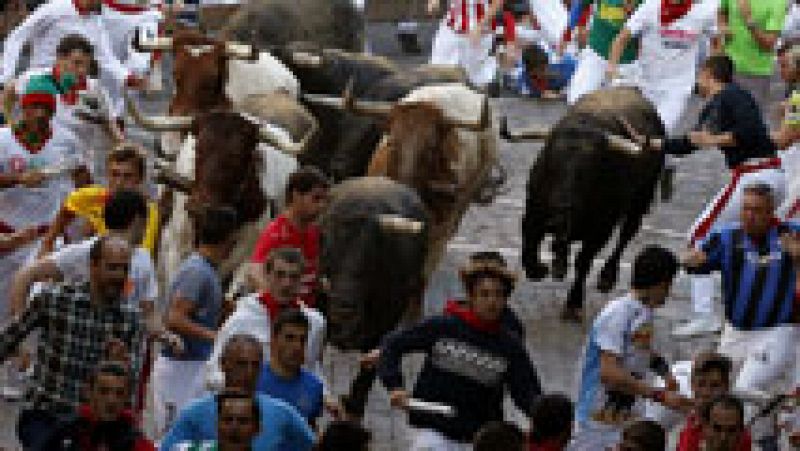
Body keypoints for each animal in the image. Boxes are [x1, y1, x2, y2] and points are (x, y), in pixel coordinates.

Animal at [504, 87, 664, 322]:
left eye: (588, 170)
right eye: (551, 162)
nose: (558, 214)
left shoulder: (601, 230)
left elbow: (583, 262)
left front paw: (573, 303)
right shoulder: (533, 216)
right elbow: (529, 253)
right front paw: (543, 268)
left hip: (642, 198)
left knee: (626, 235)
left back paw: (607, 277)